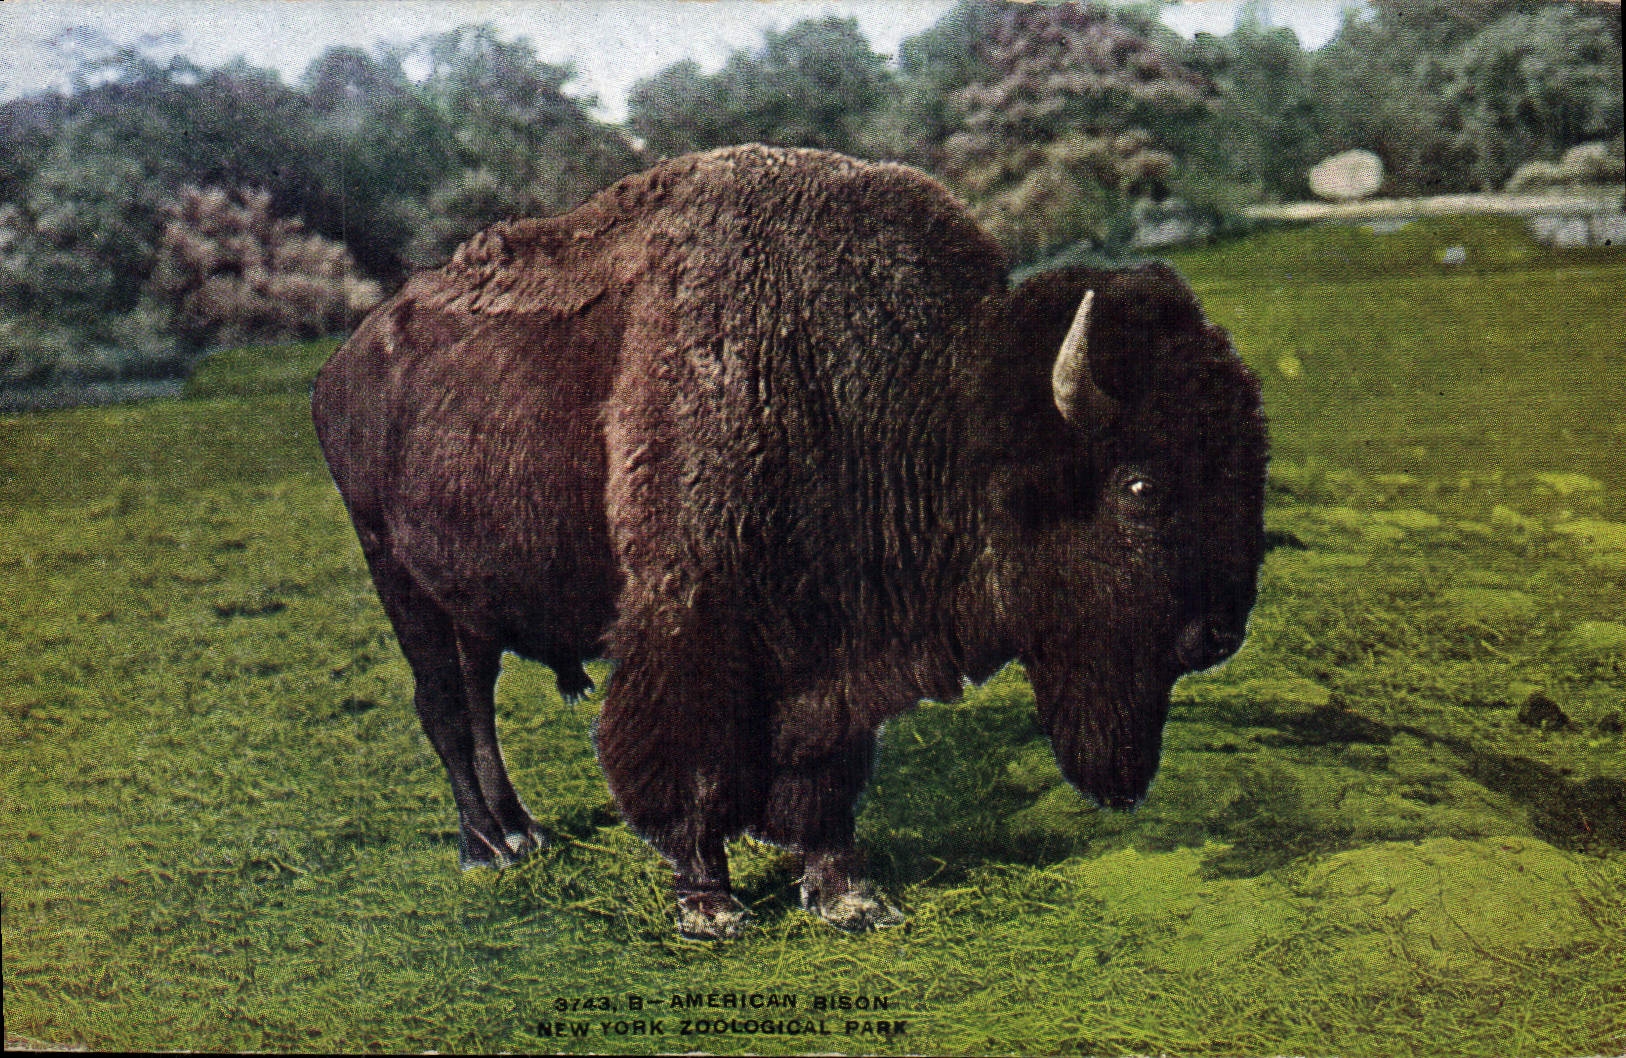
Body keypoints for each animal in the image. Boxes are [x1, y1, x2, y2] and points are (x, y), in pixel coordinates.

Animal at [312, 145, 1268, 939]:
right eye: (1140, 487)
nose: (1217, 633)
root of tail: (341, 365)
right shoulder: (692, 630)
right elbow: (688, 763)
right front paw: (710, 905)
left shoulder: (829, 650)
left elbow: (821, 773)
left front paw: (849, 895)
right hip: (397, 581)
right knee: (443, 708)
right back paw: (485, 849)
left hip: (465, 602)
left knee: (476, 705)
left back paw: (523, 832)